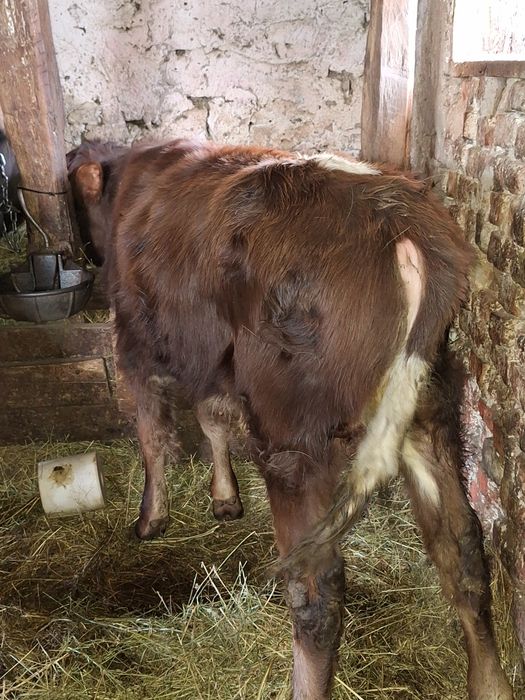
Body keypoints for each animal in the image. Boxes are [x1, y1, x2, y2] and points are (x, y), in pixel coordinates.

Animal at [68, 138, 514, 700]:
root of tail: (400, 215)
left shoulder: (136, 341)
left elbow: (152, 436)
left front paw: (152, 518)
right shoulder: (211, 361)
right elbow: (213, 421)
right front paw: (225, 498)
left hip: (292, 438)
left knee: (316, 594)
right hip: (429, 412)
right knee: (463, 549)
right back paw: (491, 681)